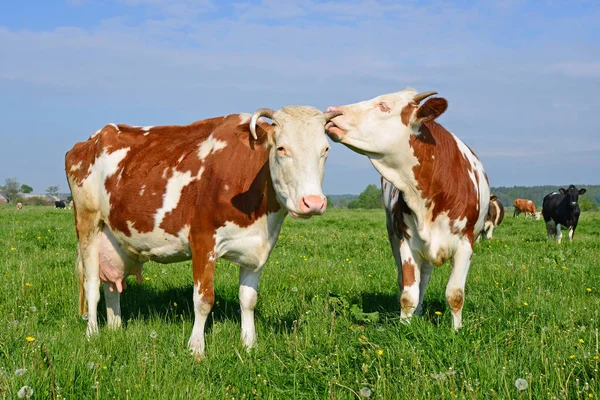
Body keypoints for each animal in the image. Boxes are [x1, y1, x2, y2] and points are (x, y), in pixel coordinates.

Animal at [65, 105, 342, 356]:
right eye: (282, 148)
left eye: (325, 149)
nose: (313, 202)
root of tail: (93, 138)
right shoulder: (202, 241)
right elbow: (203, 299)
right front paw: (196, 348)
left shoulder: (258, 247)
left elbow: (248, 300)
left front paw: (249, 345)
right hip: (88, 221)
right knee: (92, 284)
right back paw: (92, 333)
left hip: (114, 235)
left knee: (111, 286)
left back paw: (115, 328)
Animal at [326, 89, 490, 330]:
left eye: (384, 106)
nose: (331, 110)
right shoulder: (406, 240)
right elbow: (408, 293)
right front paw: (405, 327)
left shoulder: (466, 243)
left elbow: (455, 294)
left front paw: (457, 330)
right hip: (394, 236)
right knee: (414, 280)